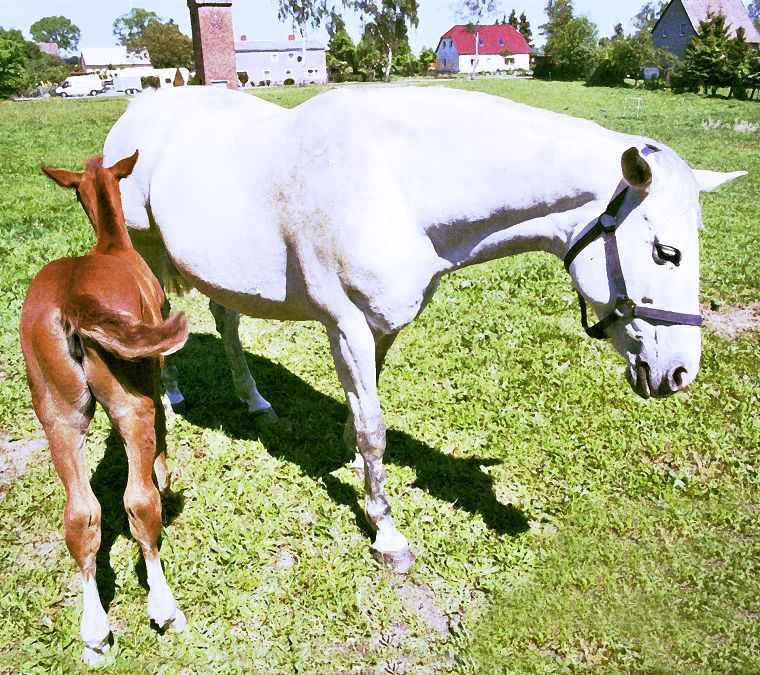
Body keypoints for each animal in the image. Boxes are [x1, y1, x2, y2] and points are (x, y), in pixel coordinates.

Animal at [20, 149, 189, 664]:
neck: (112, 246)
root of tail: (75, 301)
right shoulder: (150, 374)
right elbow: (161, 437)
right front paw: (166, 480)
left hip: (57, 415)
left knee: (80, 515)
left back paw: (94, 634)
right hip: (128, 400)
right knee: (137, 502)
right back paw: (166, 610)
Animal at [104, 84, 744, 572]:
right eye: (665, 252)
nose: (679, 372)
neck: (395, 181)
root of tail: (139, 110)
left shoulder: (383, 325)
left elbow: (363, 413)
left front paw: (353, 466)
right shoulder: (346, 325)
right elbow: (374, 427)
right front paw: (386, 533)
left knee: (226, 321)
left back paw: (253, 400)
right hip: (144, 248)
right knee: (161, 317)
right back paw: (171, 395)